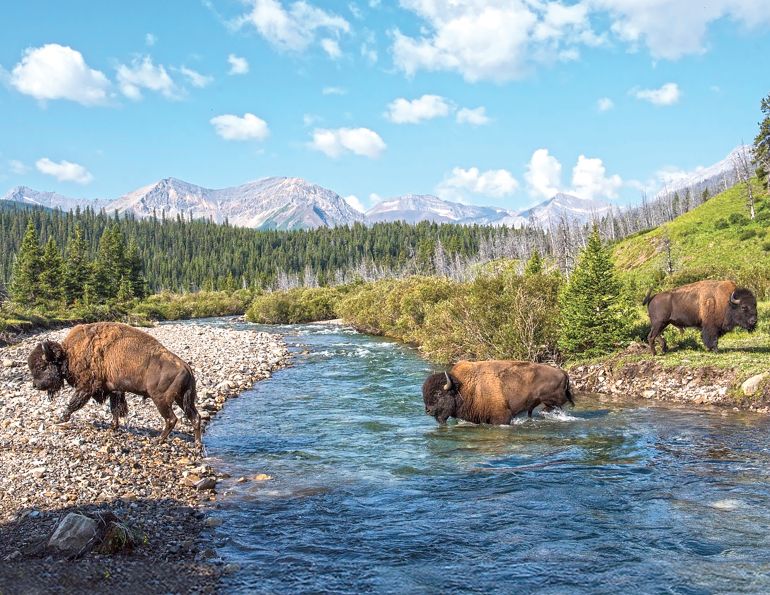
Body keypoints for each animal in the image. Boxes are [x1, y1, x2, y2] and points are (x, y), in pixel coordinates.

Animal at [28, 322, 201, 444]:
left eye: (42, 366)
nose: (35, 385)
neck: (68, 354)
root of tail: (186, 366)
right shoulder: (114, 390)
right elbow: (115, 409)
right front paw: (114, 426)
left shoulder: (86, 387)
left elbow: (73, 403)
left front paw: (61, 418)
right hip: (182, 399)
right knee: (195, 417)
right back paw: (198, 445)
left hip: (161, 399)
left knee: (171, 419)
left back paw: (158, 440)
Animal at [422, 360, 574, 425]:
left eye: (438, 394)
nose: (428, 410)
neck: (465, 387)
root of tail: (563, 372)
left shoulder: (501, 417)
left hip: (553, 402)